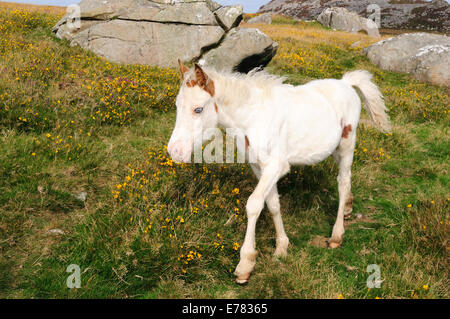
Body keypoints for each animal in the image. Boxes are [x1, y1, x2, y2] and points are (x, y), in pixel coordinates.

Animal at [166, 60, 390, 284]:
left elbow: (254, 204)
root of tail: (346, 83)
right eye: (176, 106)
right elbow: (272, 203)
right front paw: (282, 247)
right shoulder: (259, 167)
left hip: (346, 145)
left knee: (343, 182)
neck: (253, 118)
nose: (175, 151)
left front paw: (245, 264)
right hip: (334, 149)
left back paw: (336, 235)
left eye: (198, 109)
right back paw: (348, 208)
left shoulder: (276, 166)